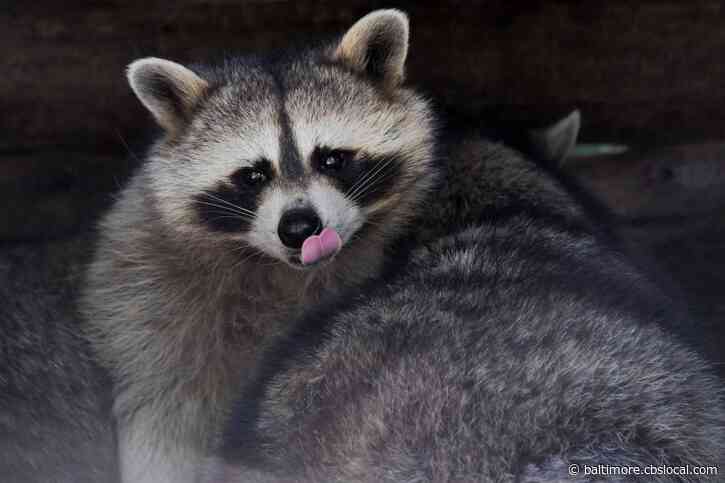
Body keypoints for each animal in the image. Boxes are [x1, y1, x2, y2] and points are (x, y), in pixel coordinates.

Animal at [80, 9, 437, 483]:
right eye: (252, 175)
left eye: (332, 159)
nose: (301, 228)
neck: (279, 270)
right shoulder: (152, 295)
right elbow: (163, 411)